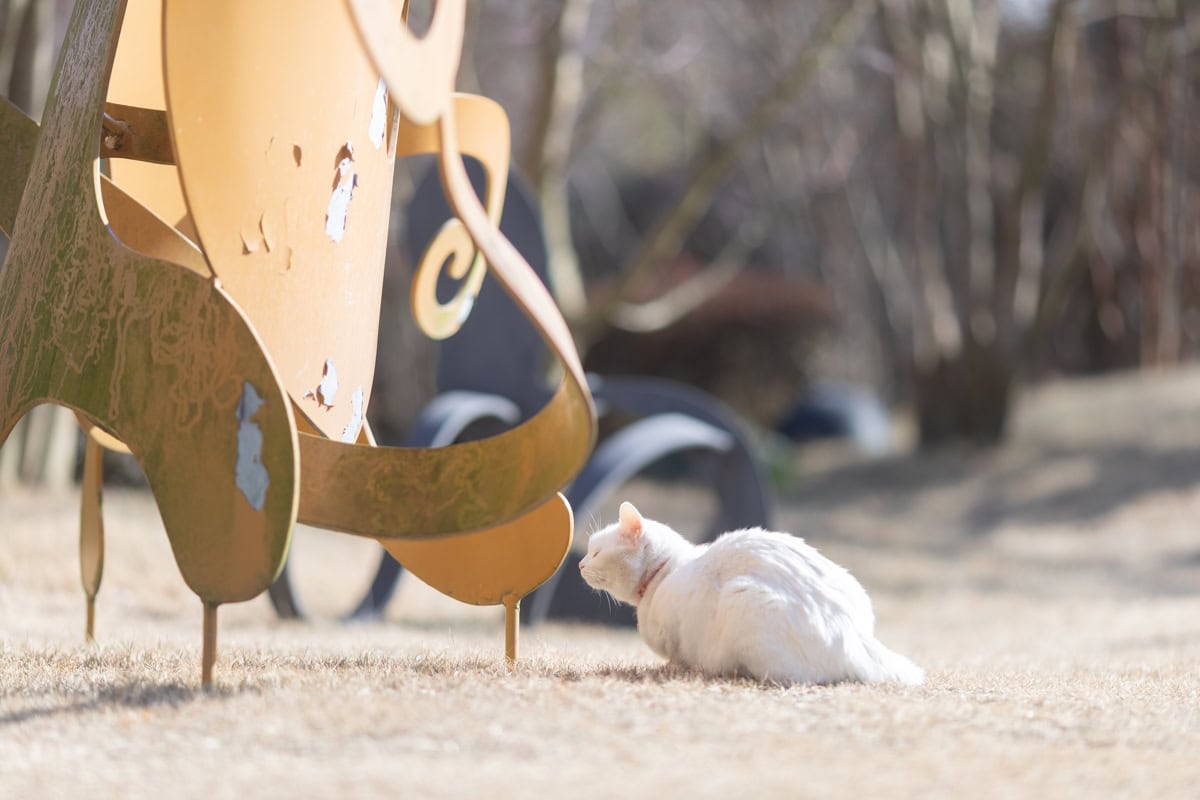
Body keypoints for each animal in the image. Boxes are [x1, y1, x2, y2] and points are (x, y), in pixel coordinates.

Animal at [576, 503, 921, 686]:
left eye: (596, 553)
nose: (579, 564)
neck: (666, 571)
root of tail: (853, 634)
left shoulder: (674, 636)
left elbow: (676, 657)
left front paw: (673, 668)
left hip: (744, 600)